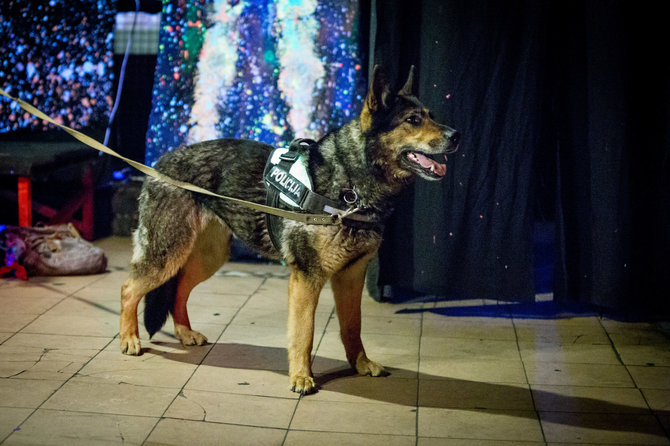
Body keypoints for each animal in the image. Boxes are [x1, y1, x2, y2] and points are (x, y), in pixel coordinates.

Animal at [118, 65, 460, 394]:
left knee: (178, 289)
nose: (457, 135)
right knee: (128, 289)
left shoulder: (350, 277)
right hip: (166, 255)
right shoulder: (306, 278)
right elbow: (303, 334)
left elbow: (353, 327)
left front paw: (360, 364)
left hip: (205, 258)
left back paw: (184, 333)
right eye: (412, 120)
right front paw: (301, 377)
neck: (350, 182)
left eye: (431, 116)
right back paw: (129, 338)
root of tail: (160, 161)